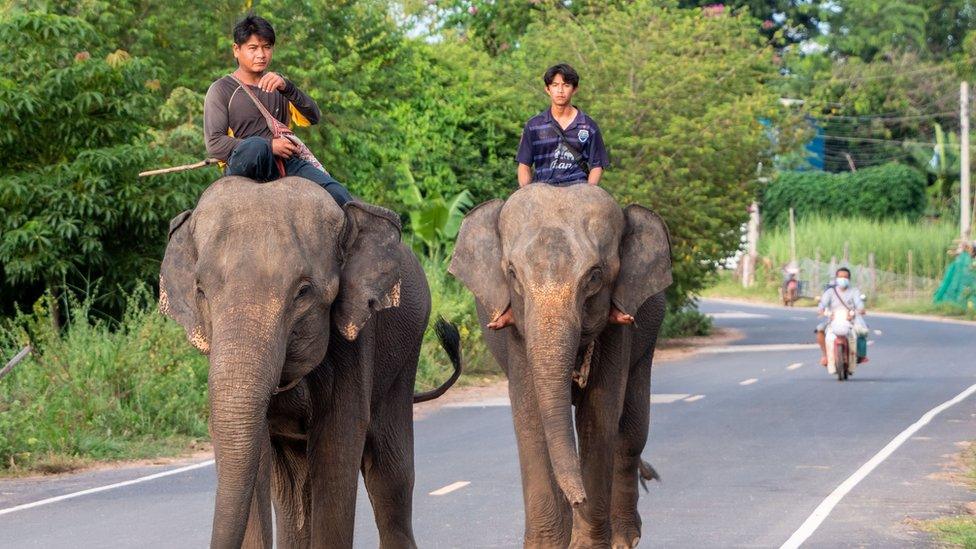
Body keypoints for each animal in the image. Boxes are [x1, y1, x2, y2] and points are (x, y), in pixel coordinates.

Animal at [160, 177, 462, 548]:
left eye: (303, 292)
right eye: (201, 290)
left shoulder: (355, 337)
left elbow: (337, 445)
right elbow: (256, 455)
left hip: (407, 354)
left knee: (390, 476)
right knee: (294, 490)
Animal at [450, 185, 672, 548]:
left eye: (594, 276)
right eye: (512, 274)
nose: (579, 499)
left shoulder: (618, 327)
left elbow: (599, 414)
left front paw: (586, 543)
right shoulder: (517, 332)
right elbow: (530, 418)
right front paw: (549, 544)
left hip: (648, 337)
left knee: (631, 433)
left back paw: (624, 537)